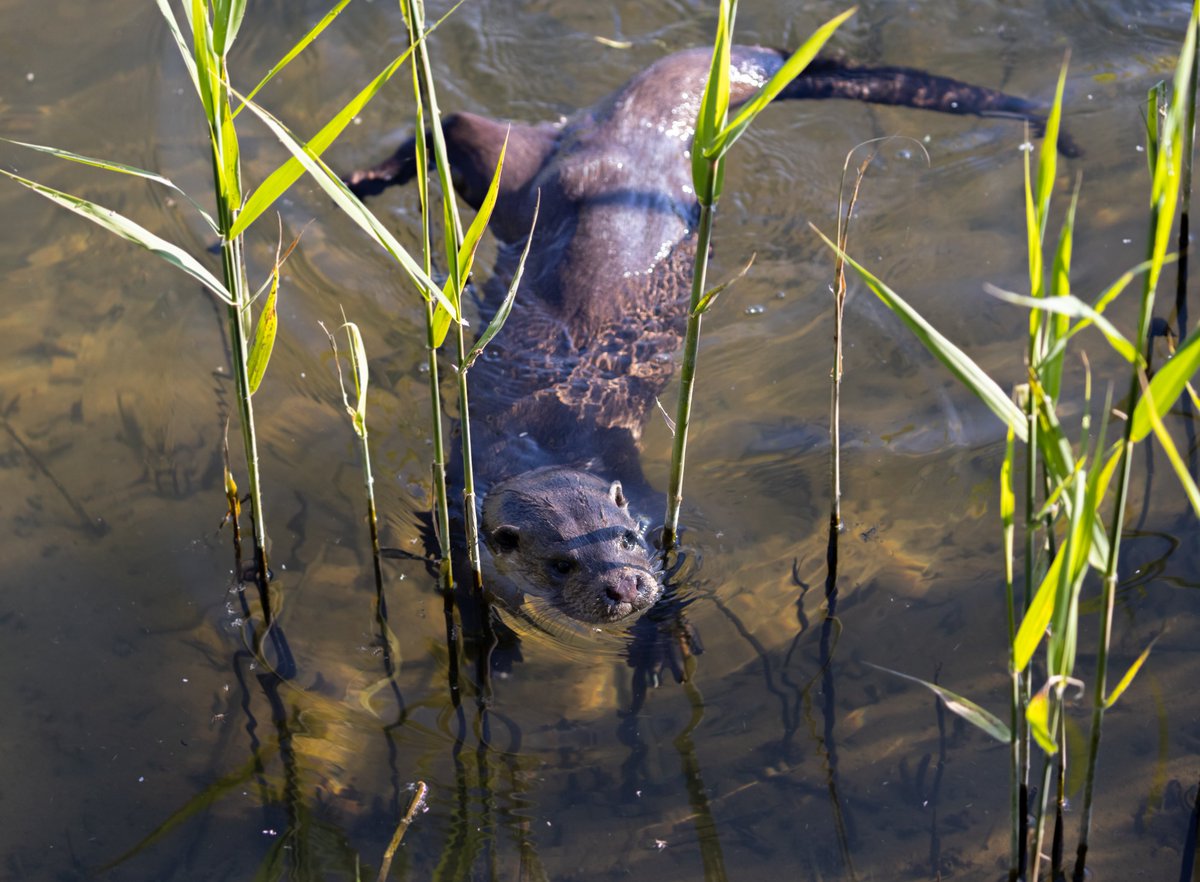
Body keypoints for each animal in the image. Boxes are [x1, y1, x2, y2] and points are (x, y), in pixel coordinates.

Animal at [348, 45, 1068, 626]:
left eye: (626, 540)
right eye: (561, 563)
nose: (625, 586)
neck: (541, 446)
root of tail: (639, 135)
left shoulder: (649, 503)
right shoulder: (451, 499)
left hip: (522, 177)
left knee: (458, 127)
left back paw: (364, 178)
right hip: (519, 181)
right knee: (456, 126)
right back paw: (363, 179)